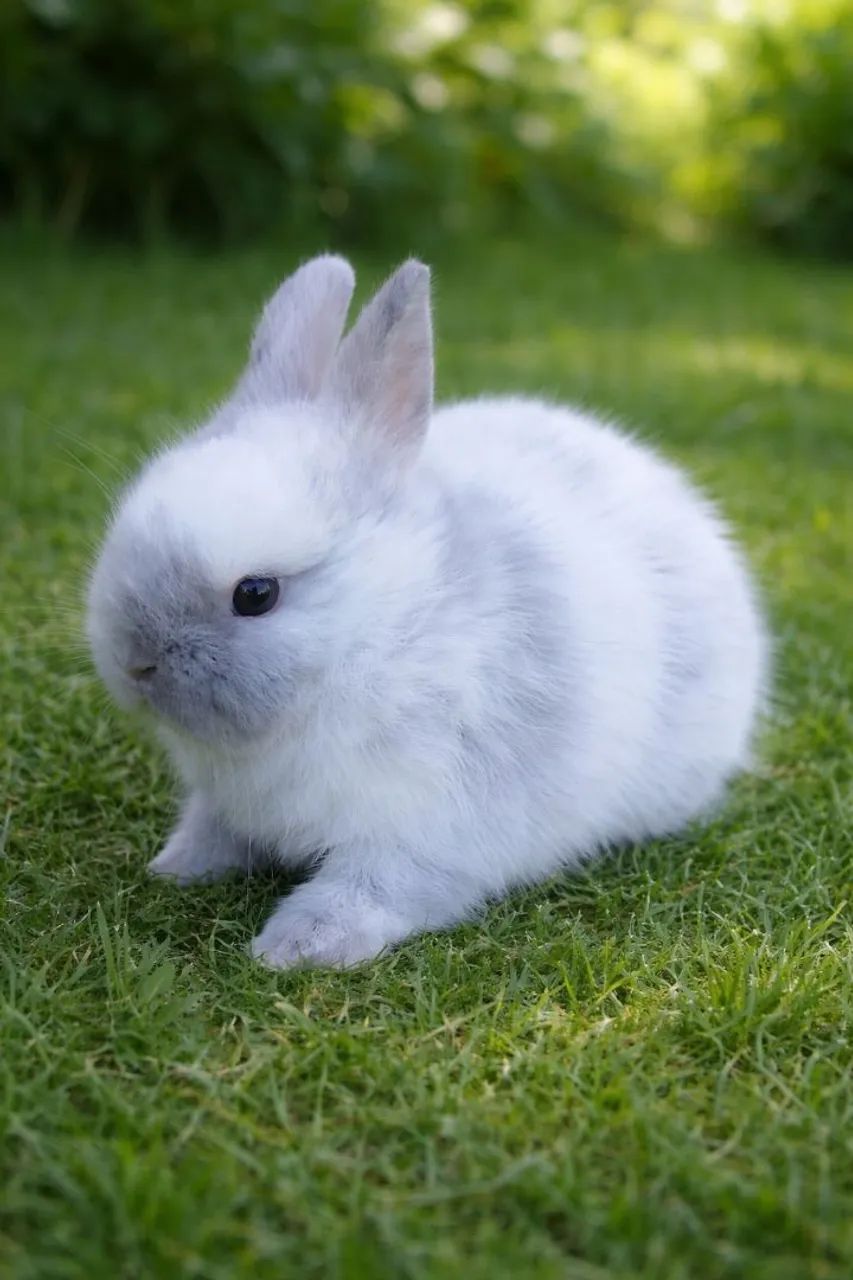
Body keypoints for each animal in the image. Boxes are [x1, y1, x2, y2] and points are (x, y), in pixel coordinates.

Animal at [87, 254, 768, 969]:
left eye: (256, 594)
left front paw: (294, 947)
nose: (134, 663)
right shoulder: (227, 803)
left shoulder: (426, 826)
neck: (375, 632)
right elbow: (215, 830)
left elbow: (377, 888)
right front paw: (176, 867)